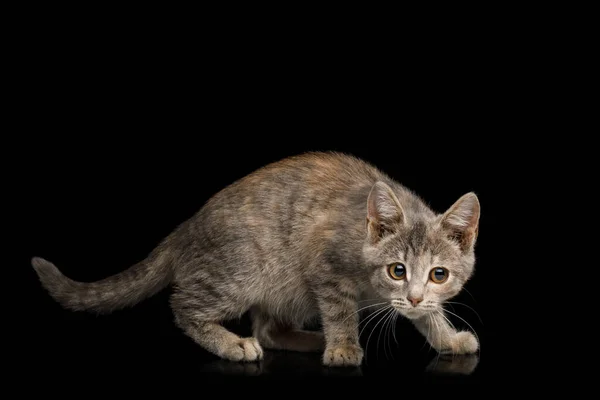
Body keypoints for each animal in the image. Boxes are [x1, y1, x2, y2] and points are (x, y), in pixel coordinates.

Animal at [34, 152, 482, 368]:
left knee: (267, 327)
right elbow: (339, 309)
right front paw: (342, 346)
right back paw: (233, 344)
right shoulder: (326, 267)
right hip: (241, 271)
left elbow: (430, 316)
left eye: (439, 274)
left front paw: (446, 336)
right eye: (397, 270)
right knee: (185, 307)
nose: (414, 296)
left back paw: (306, 338)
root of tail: (188, 225)